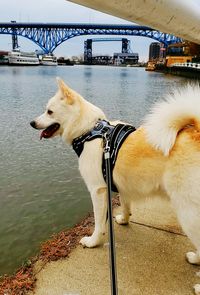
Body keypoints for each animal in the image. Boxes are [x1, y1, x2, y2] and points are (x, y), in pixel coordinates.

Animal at [30, 79, 200, 295]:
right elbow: (126, 205)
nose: (32, 123)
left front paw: (93, 241)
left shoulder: (98, 191)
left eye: (49, 111)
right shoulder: (121, 185)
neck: (89, 131)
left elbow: (99, 222)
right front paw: (124, 220)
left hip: (189, 212)